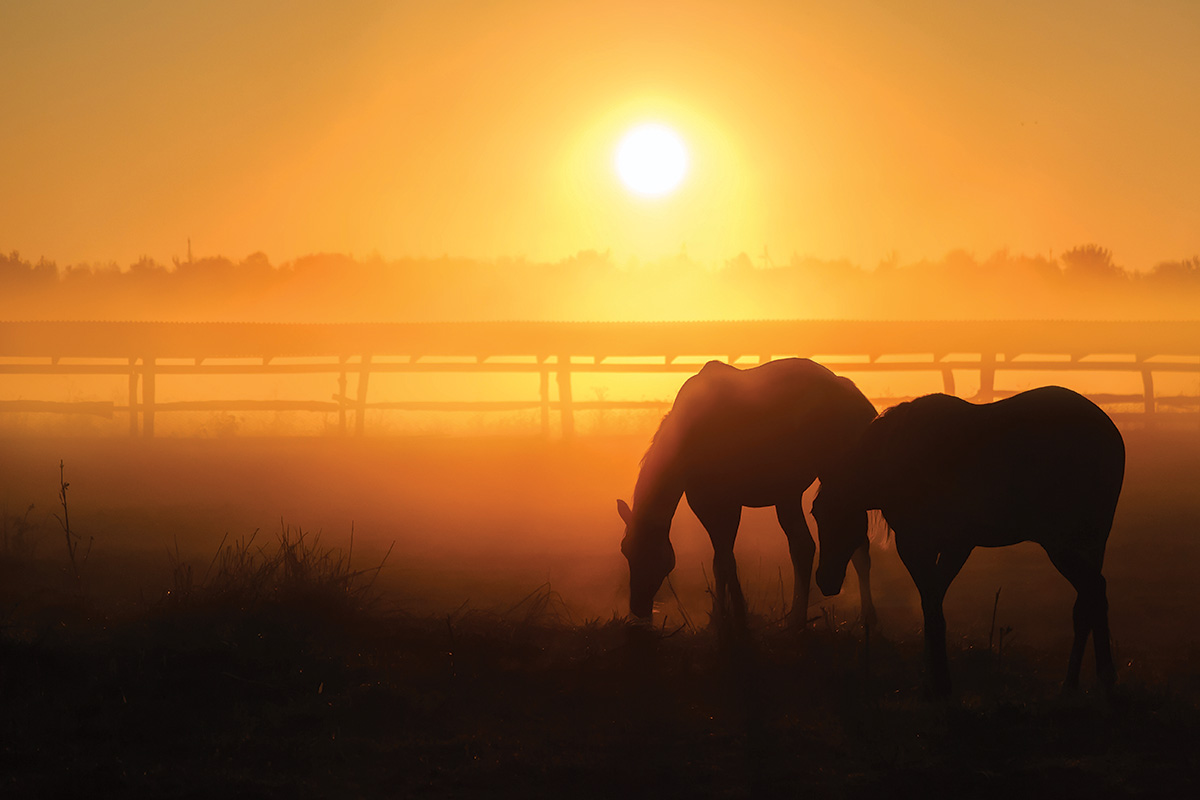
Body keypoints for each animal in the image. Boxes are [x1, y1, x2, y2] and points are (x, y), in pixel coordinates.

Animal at [619, 359, 883, 628]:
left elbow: (726, 560)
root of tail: (848, 391)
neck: (689, 437)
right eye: (625, 550)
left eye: (655, 555)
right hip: (795, 494)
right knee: (827, 547)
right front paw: (719, 616)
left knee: (834, 545)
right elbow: (719, 561)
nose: (638, 608)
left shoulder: (720, 504)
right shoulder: (711, 505)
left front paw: (737, 615)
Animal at [816, 386, 1123, 695]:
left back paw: (1091, 681)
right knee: (1088, 603)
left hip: (1061, 545)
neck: (895, 457)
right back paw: (1082, 683)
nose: (824, 580)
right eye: (815, 513)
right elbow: (932, 606)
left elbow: (932, 608)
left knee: (1093, 592)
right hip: (1090, 544)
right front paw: (934, 678)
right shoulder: (950, 547)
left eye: (825, 513)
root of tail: (1109, 433)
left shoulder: (919, 546)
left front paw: (939, 684)